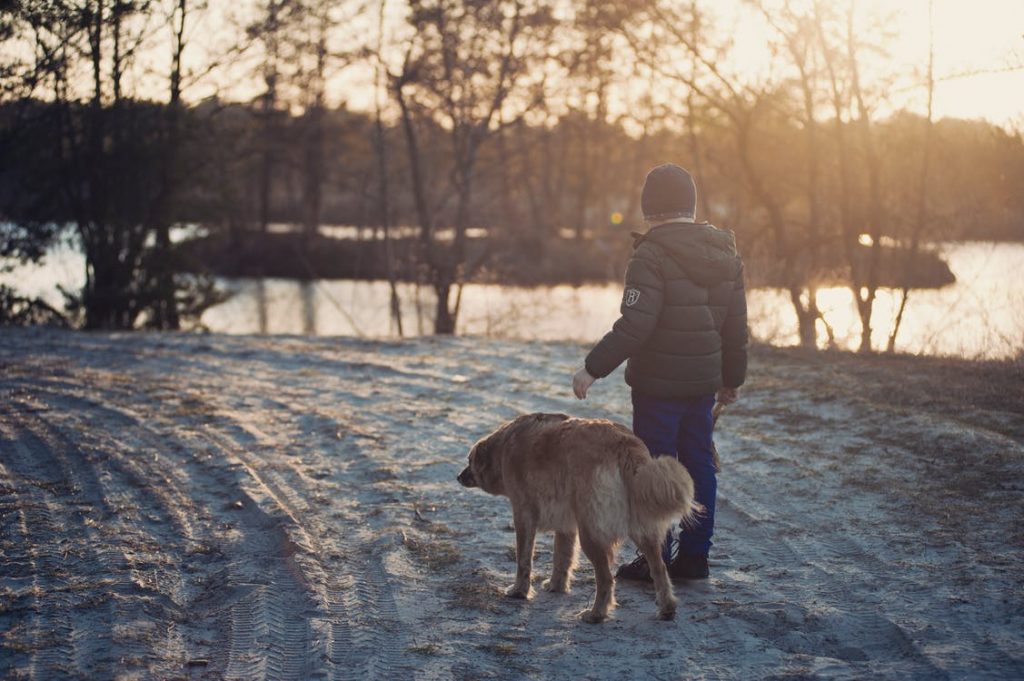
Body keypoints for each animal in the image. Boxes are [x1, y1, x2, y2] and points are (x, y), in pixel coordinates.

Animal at [460, 409, 700, 622]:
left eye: (469, 461)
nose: (458, 476)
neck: (504, 447)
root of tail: (624, 444)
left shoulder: (523, 514)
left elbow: (524, 559)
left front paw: (519, 591)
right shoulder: (566, 525)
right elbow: (562, 558)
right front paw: (556, 586)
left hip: (591, 533)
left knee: (606, 579)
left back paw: (596, 614)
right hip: (641, 530)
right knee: (660, 569)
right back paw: (666, 608)